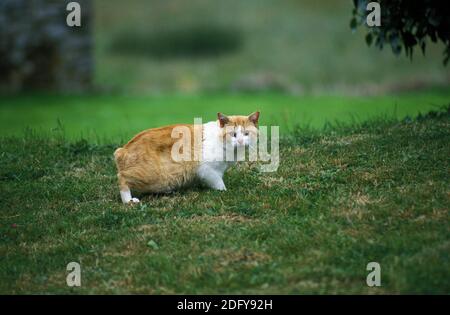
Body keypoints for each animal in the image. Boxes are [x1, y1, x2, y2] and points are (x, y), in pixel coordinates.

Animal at [113, 111, 260, 205]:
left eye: (246, 134)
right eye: (233, 134)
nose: (240, 141)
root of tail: (122, 150)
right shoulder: (208, 170)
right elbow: (218, 183)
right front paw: (223, 191)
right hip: (151, 176)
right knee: (122, 178)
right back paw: (128, 200)